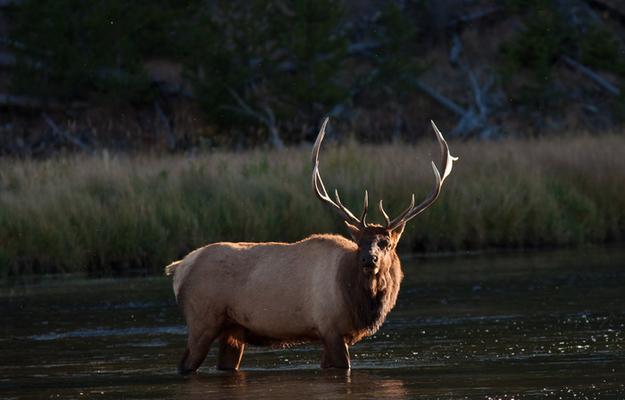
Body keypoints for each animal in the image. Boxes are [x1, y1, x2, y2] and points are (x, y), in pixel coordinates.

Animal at [165, 117, 458, 374]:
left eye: (385, 243)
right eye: (359, 242)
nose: (369, 259)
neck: (358, 301)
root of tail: (179, 267)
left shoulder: (334, 335)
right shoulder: (330, 327)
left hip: (233, 331)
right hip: (202, 321)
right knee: (184, 364)